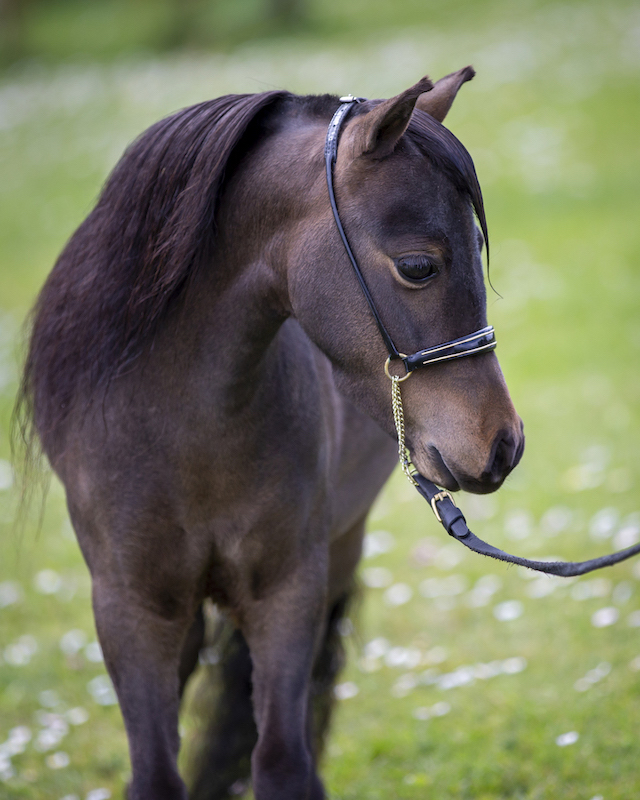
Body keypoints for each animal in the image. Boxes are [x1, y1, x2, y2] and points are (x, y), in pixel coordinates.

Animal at [15, 66, 524, 799]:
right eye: (418, 266)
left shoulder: (288, 593)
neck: (184, 428)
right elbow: (155, 771)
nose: (503, 444)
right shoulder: (132, 609)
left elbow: (283, 761)